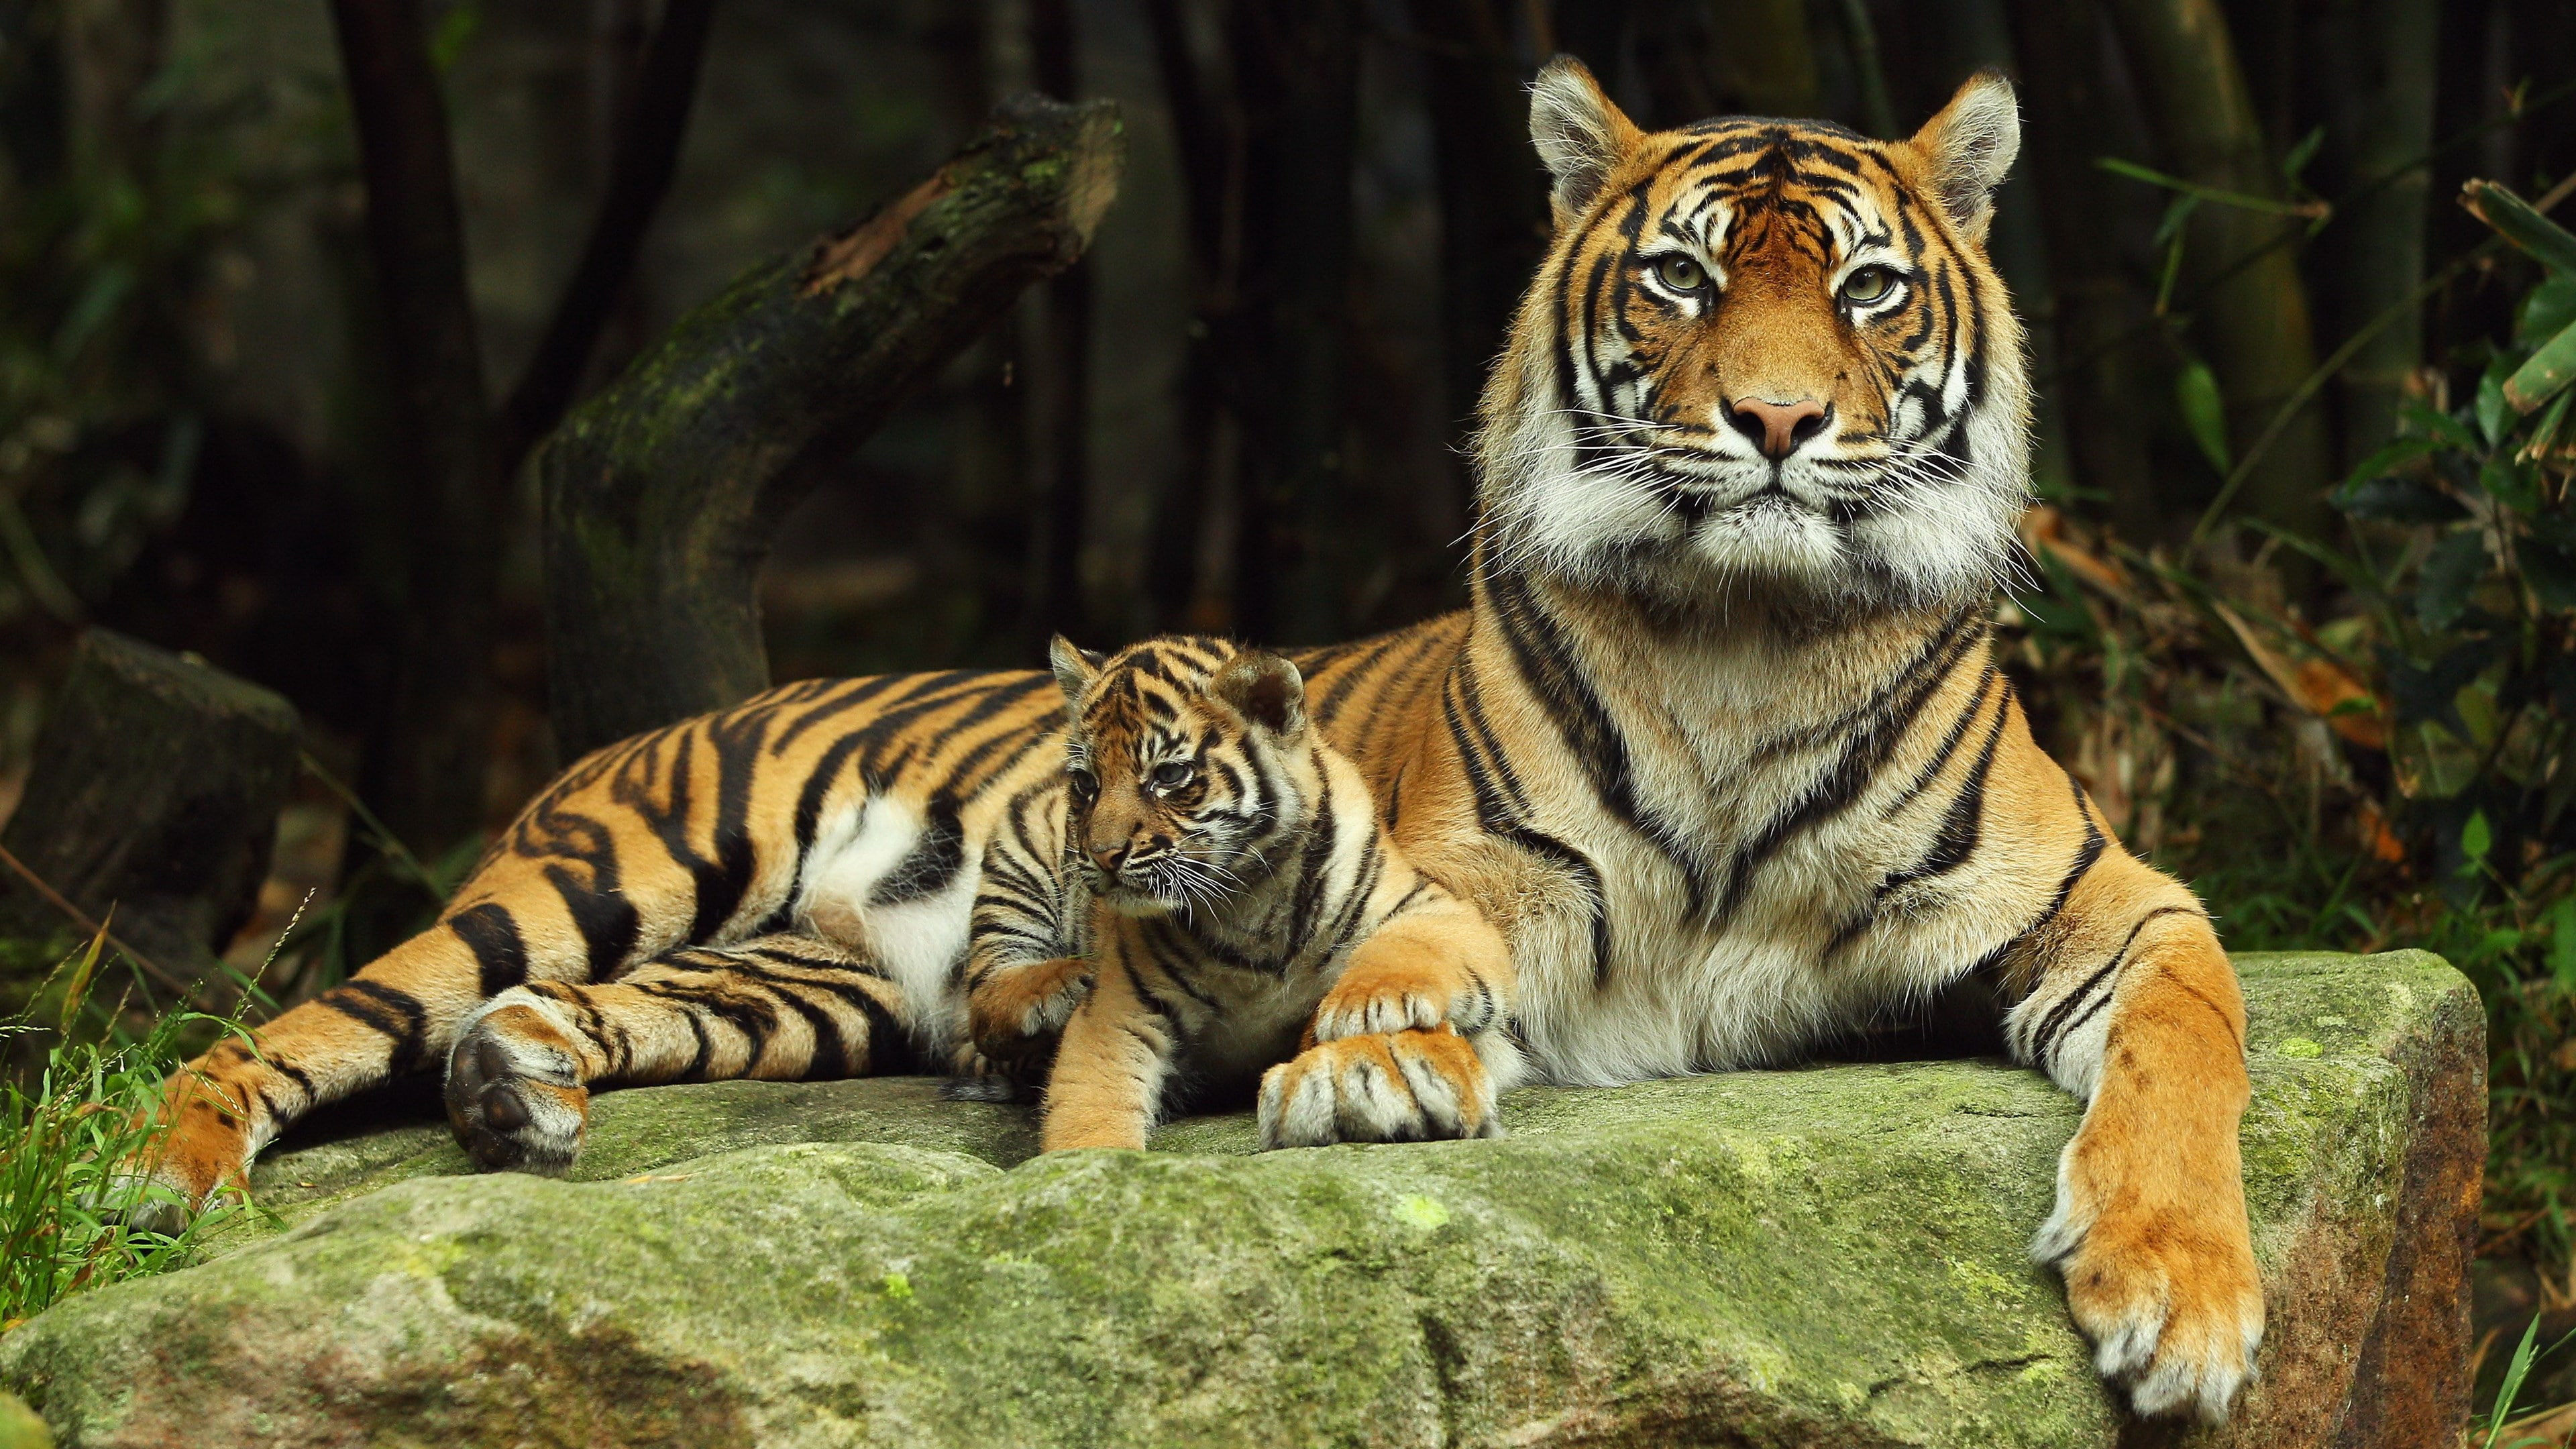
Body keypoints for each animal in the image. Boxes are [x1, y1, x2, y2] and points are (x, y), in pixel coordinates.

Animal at [985, 634, 1518, 1152]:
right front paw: (1090, 1165)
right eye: (1086, 782)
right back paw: (1062, 983)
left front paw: (1365, 1005)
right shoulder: (1120, 1013)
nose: (1102, 855)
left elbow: (1410, 947)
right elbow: (1091, 1106)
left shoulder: (1437, 907)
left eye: (1168, 776)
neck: (1250, 899)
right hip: (1020, 856)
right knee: (983, 995)